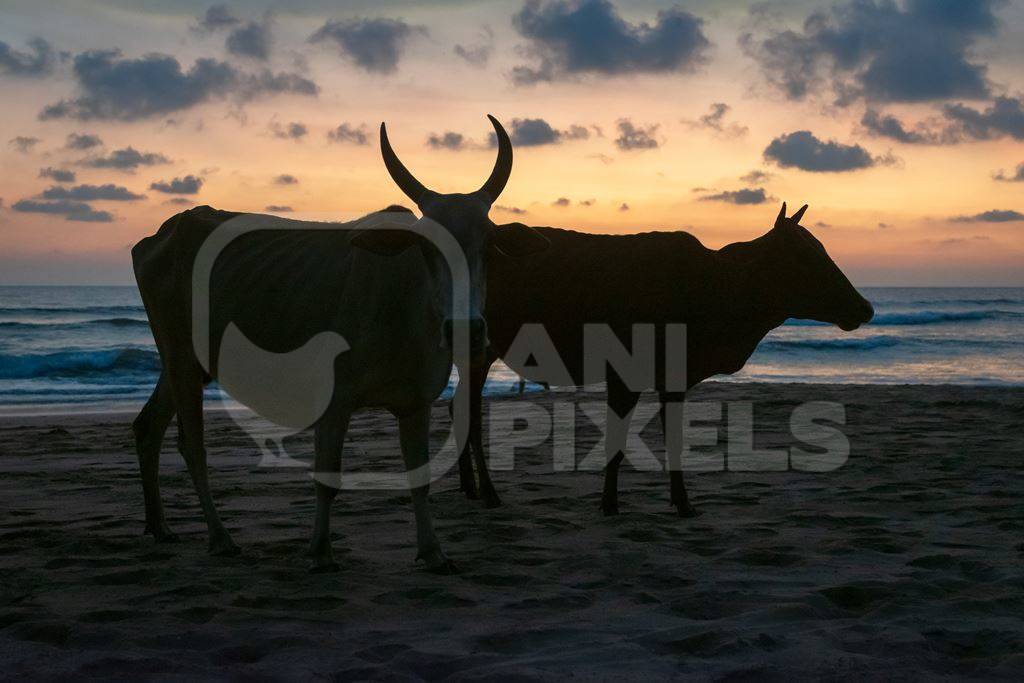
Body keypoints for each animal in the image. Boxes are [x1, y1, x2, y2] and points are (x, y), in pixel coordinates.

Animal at [132, 116, 548, 573]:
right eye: (426, 245)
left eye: (488, 245)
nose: (465, 330)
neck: (403, 307)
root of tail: (166, 232)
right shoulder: (334, 401)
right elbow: (327, 479)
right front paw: (320, 551)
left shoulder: (415, 402)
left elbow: (419, 478)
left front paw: (433, 552)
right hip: (181, 360)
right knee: (192, 446)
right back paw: (219, 537)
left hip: (184, 366)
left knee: (147, 426)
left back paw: (159, 526)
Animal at [450, 202, 872, 518]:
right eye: (806, 256)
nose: (865, 308)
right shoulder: (625, 373)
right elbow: (617, 443)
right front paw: (609, 504)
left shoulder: (674, 377)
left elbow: (673, 440)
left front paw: (682, 503)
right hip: (478, 348)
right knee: (469, 413)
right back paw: (488, 492)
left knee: (459, 407)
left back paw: (470, 488)